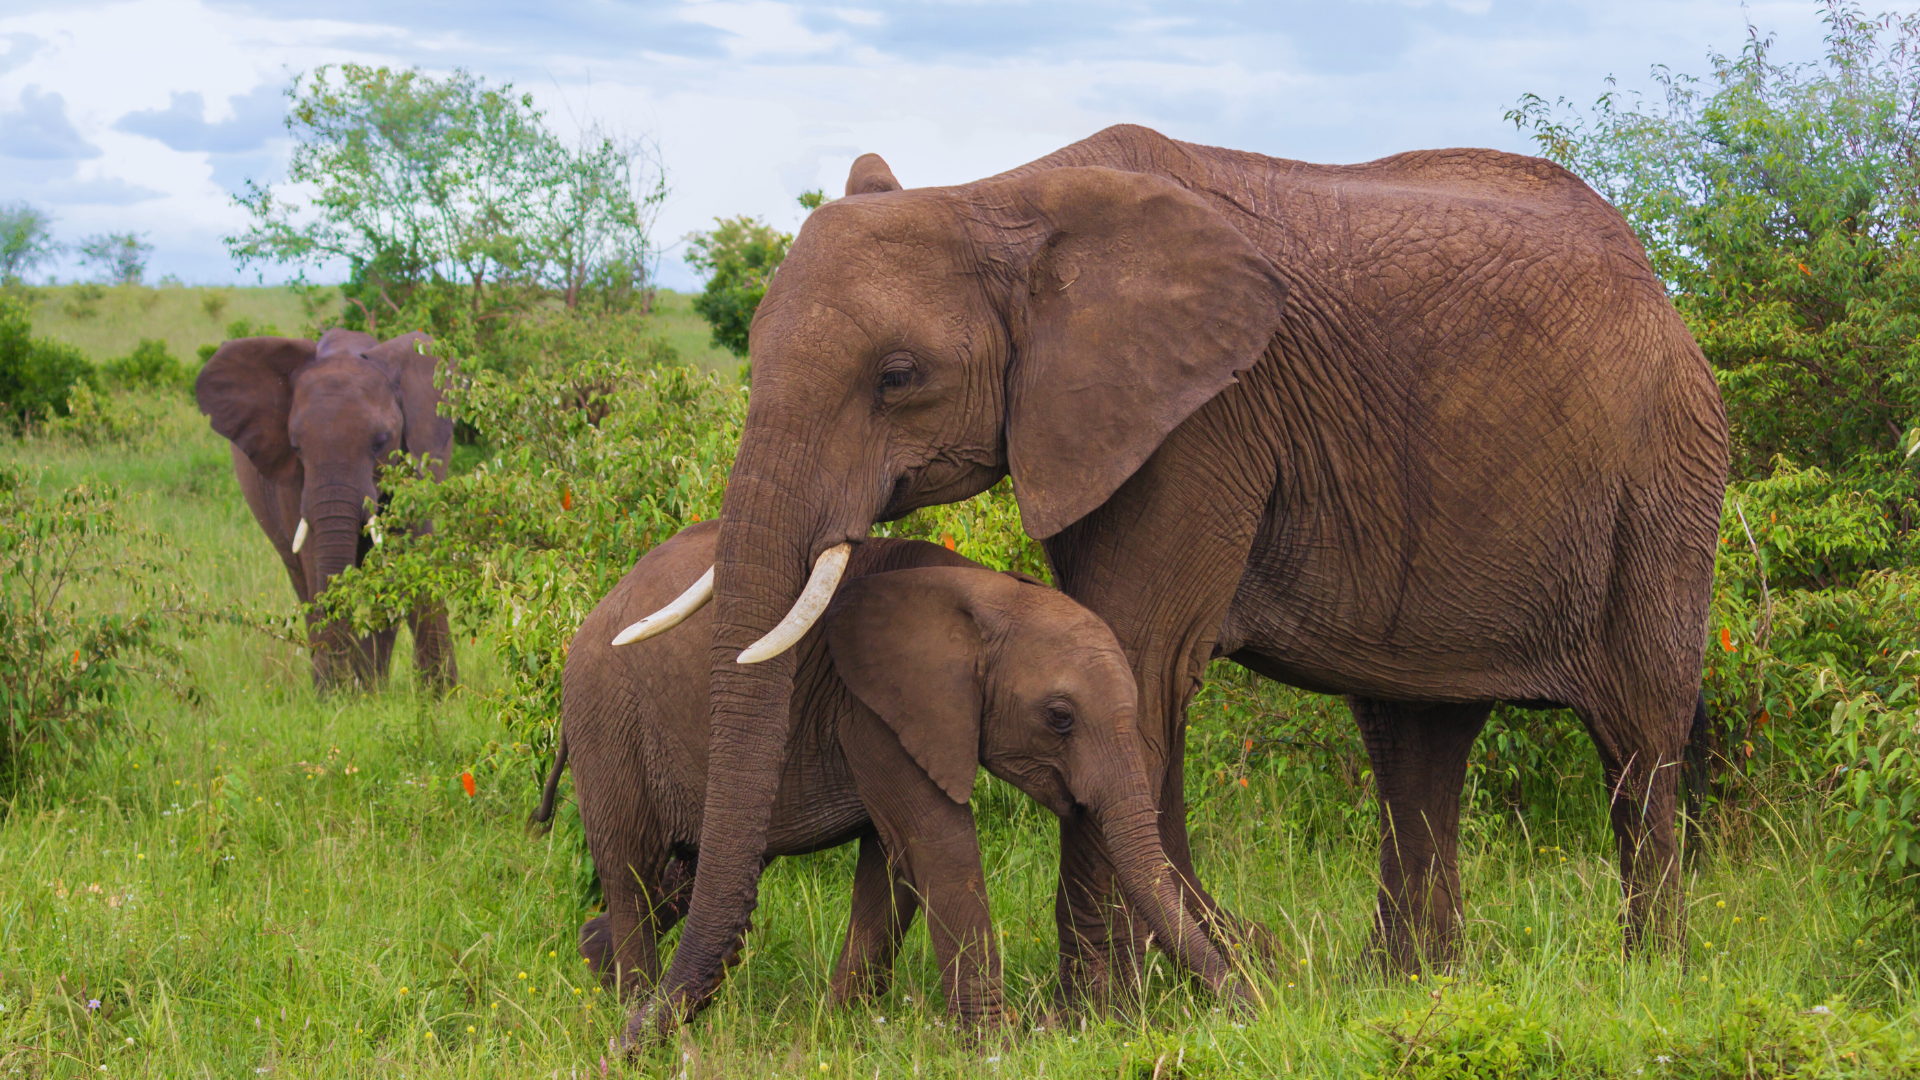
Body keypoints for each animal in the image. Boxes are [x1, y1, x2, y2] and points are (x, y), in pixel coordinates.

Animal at [196, 328, 458, 691]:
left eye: (380, 442)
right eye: (295, 446)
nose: (334, 687)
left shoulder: (415, 462)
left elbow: (411, 553)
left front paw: (444, 696)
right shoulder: (293, 482)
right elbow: (315, 561)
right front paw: (337, 694)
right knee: (302, 581)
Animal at [535, 520, 1244, 1025]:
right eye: (1060, 717)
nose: (1246, 1008)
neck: (986, 592)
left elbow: (893, 864)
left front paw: (842, 1028)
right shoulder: (872, 708)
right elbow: (936, 845)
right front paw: (996, 1047)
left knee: (675, 880)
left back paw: (597, 962)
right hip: (608, 722)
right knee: (631, 870)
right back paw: (629, 1003)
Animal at [615, 123, 1730, 1039]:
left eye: (897, 377)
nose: (638, 1038)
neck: (1001, 198)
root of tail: (1654, 278)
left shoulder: (1205, 417)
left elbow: (1137, 656)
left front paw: (1088, 1024)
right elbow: (1131, 673)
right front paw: (1178, 990)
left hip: (1667, 471)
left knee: (1639, 731)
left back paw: (1650, 978)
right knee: (1415, 739)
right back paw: (1405, 985)